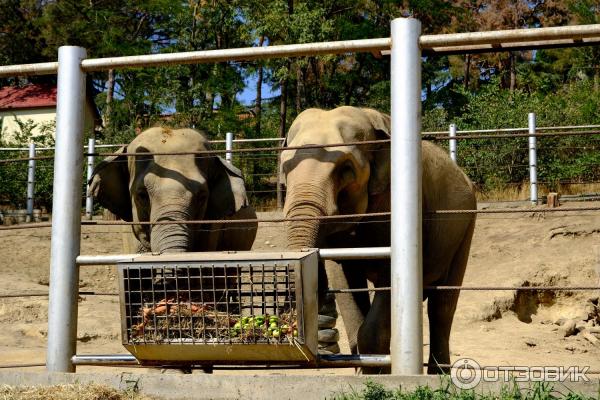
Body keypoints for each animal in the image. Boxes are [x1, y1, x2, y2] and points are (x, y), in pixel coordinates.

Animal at [278, 104, 476, 374]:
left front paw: (377, 374)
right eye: (286, 169)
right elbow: (343, 278)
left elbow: (389, 277)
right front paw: (365, 372)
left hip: (465, 227)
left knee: (442, 306)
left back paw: (439, 375)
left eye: (346, 169)